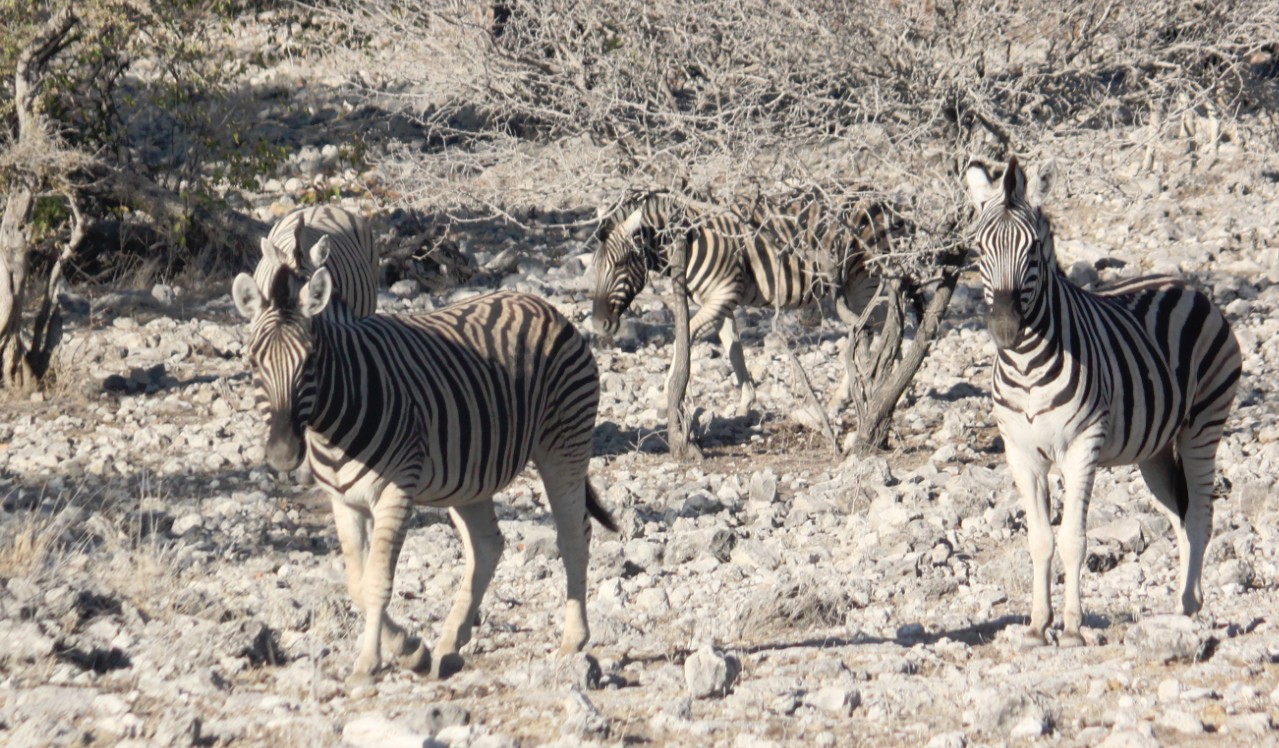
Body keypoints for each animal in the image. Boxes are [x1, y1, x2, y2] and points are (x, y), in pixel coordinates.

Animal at [232, 255, 616, 680]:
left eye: (311, 360)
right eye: (253, 362)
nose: (283, 454)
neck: (333, 424)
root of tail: (544, 307)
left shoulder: (395, 491)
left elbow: (377, 581)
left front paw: (371, 663)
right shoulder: (343, 502)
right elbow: (356, 585)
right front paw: (410, 650)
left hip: (563, 444)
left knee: (574, 535)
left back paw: (573, 640)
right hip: (471, 473)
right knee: (487, 545)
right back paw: (449, 645)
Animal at [590, 189, 900, 414]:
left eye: (620, 264)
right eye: (595, 266)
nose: (597, 323)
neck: (688, 240)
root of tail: (883, 200)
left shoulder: (723, 294)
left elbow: (684, 338)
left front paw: (667, 394)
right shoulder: (720, 300)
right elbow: (733, 348)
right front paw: (745, 404)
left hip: (864, 278)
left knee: (872, 327)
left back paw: (851, 395)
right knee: (878, 326)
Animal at [966, 155, 1238, 641]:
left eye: (1033, 251)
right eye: (979, 251)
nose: (1005, 330)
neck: (1026, 366)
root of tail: (1185, 284)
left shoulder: (1083, 444)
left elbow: (1074, 539)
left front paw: (1073, 627)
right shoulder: (1020, 452)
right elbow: (1040, 539)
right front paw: (1038, 625)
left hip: (1203, 425)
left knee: (1201, 515)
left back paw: (1191, 604)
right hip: (1154, 450)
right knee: (1180, 516)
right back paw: (1178, 606)